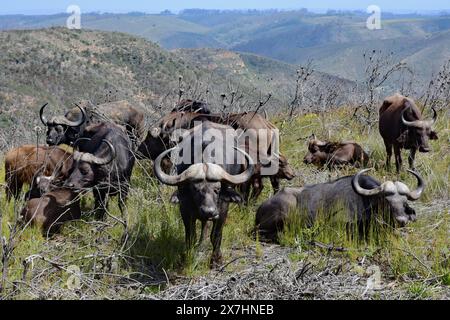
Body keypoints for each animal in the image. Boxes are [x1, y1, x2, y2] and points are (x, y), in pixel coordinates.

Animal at [154, 120, 253, 268]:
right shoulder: (185, 210)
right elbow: (190, 236)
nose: (209, 211)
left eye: (217, 190)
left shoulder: (222, 209)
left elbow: (216, 235)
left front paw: (216, 260)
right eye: (195, 189)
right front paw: (188, 257)